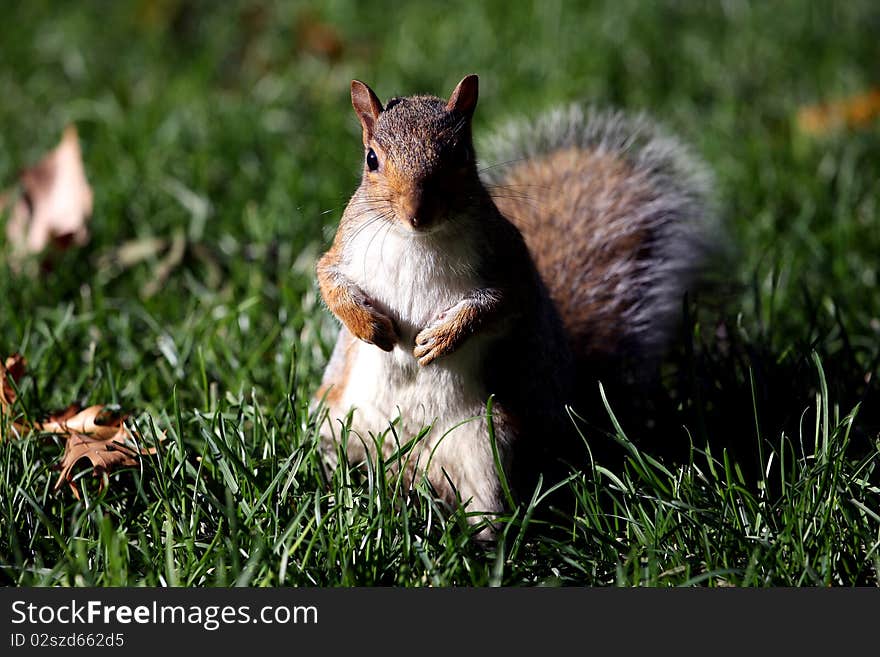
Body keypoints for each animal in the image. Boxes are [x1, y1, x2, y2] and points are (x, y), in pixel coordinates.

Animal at [316, 74, 716, 536]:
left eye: (459, 154)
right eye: (371, 159)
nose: (417, 213)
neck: (415, 239)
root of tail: (412, 467)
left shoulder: (512, 266)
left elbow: (498, 304)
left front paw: (445, 337)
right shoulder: (344, 249)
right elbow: (330, 281)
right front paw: (369, 325)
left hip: (485, 442)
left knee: (485, 503)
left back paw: (484, 540)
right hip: (340, 422)